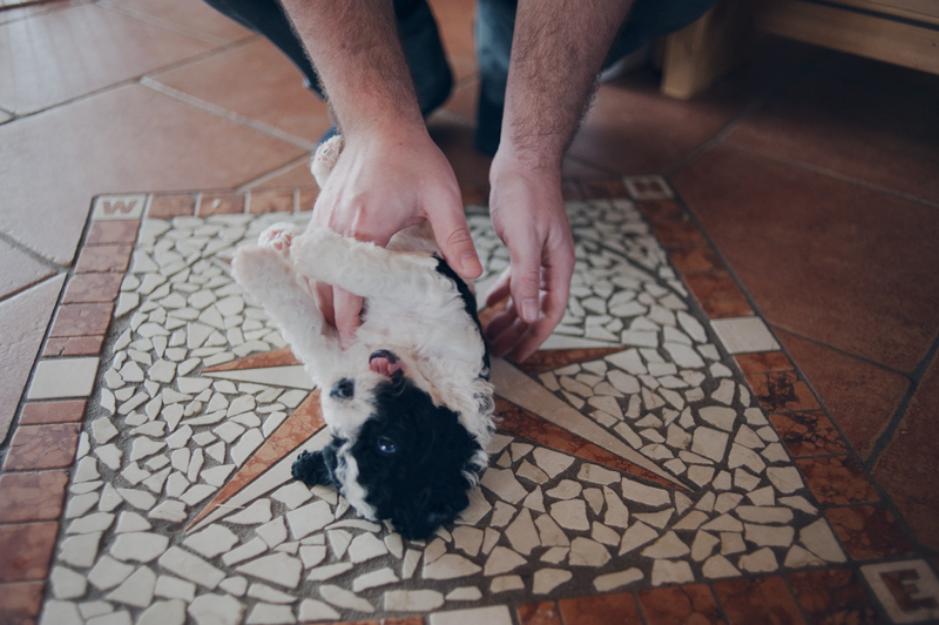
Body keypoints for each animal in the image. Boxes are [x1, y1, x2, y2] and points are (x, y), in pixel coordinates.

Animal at [232, 139, 496, 540]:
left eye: (387, 445)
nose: (339, 389)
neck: (420, 362)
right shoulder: (427, 286)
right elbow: (352, 270)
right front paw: (291, 252)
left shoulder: (343, 344)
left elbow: (309, 312)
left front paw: (285, 254)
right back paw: (324, 166)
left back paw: (284, 237)